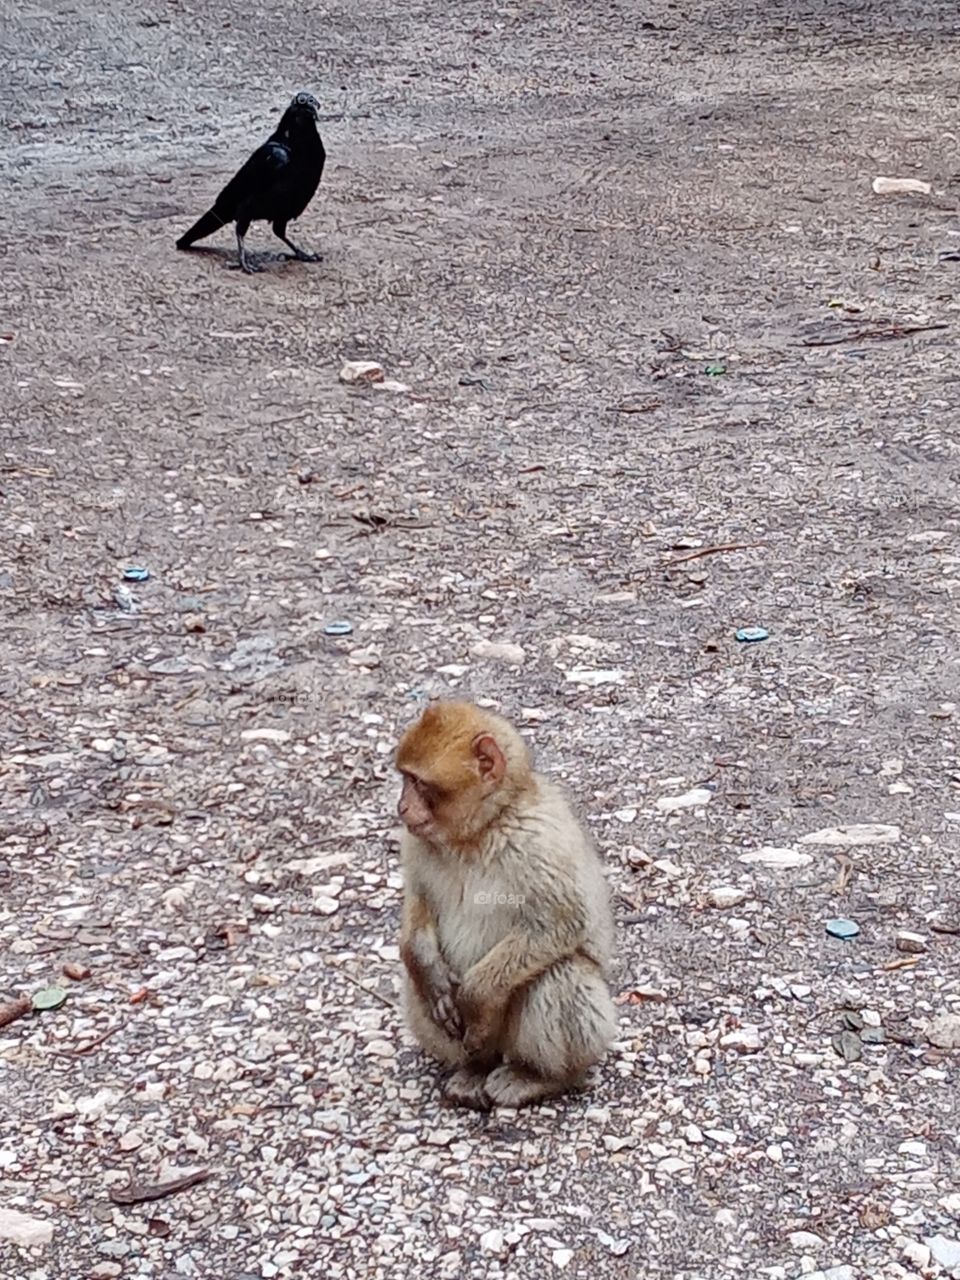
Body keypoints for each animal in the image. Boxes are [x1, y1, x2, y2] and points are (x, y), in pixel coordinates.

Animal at [395, 699, 617, 1109]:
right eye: (404, 778)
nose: (401, 807)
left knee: (559, 973)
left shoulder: (540, 840)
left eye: (419, 783)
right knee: (414, 983)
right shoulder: (416, 842)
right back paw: (475, 1070)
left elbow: (561, 923)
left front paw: (474, 995)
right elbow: (418, 903)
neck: (479, 832)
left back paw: (542, 1077)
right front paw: (431, 974)